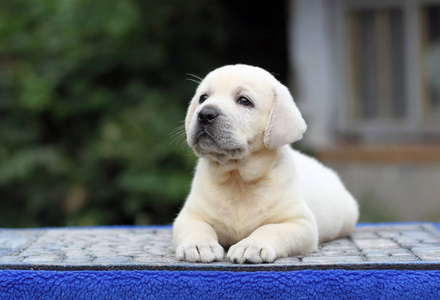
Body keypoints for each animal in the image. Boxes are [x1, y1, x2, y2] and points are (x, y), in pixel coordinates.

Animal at [172, 64, 358, 264]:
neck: (237, 178)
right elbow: (197, 227)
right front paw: (199, 245)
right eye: (203, 98)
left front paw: (251, 246)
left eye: (244, 101)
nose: (205, 114)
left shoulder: (299, 223)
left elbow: (270, 229)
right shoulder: (189, 215)